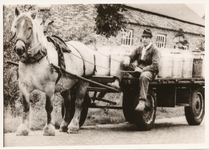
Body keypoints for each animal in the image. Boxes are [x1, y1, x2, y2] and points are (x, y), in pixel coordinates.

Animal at [11, 7, 95, 135]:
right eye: (16, 26)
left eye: (30, 27)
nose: (19, 48)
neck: (35, 60)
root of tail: (85, 48)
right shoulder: (23, 86)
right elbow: (25, 106)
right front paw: (23, 129)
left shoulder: (49, 86)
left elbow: (48, 107)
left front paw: (49, 129)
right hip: (66, 84)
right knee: (68, 103)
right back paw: (64, 125)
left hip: (83, 82)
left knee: (78, 102)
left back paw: (73, 126)